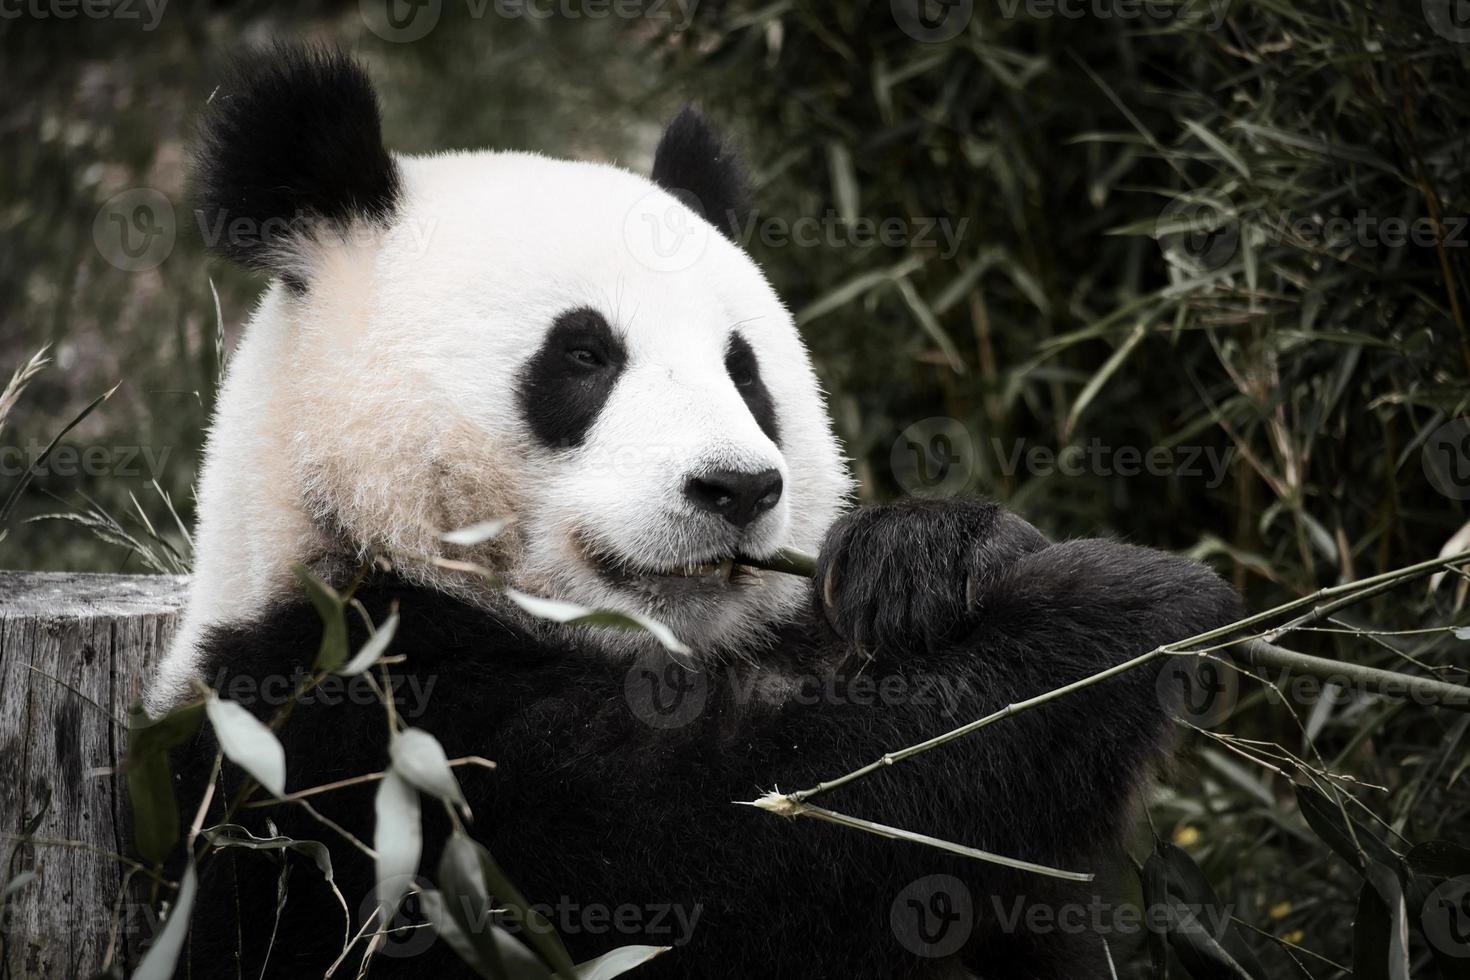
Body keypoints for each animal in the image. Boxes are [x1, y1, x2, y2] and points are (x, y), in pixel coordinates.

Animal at [152, 44, 1240, 980]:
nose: (737, 488)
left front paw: (924, 560)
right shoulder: (355, 731)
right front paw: (1124, 608)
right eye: (583, 355)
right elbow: (721, 853)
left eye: (743, 367)